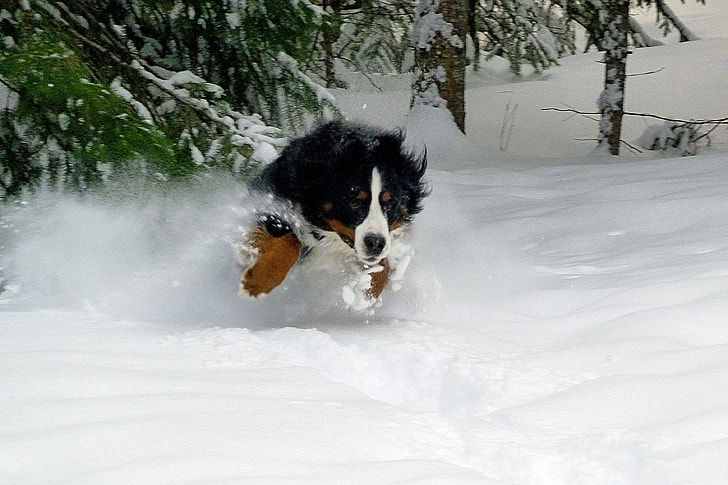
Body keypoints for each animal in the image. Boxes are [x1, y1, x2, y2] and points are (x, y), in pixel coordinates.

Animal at [236, 119, 430, 304]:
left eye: (390, 204)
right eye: (354, 203)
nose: (375, 243)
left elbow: (384, 264)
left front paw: (367, 293)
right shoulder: (272, 204)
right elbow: (290, 240)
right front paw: (259, 280)